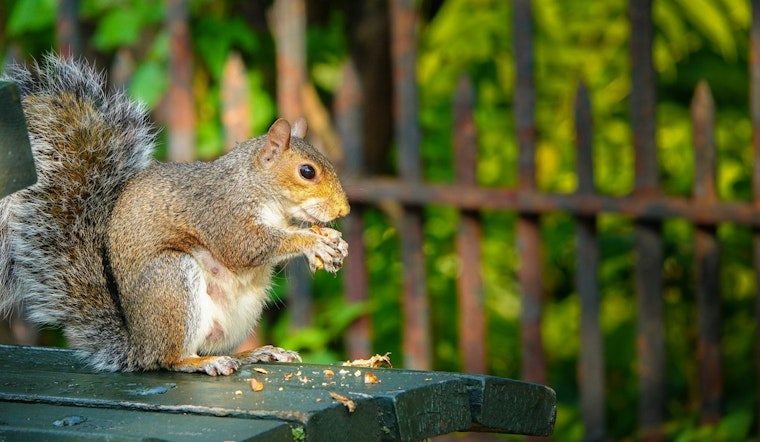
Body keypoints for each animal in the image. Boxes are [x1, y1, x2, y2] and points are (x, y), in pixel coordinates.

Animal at [0, 55, 350, 376]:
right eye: (307, 172)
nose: (343, 209)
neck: (257, 188)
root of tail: (139, 346)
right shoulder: (222, 214)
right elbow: (245, 247)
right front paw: (311, 242)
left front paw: (332, 241)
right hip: (172, 280)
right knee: (170, 358)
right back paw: (202, 362)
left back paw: (255, 353)